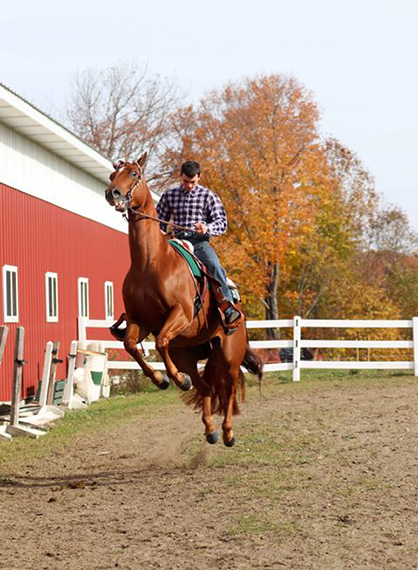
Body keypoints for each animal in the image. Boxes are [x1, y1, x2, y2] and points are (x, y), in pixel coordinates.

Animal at [105, 153, 262, 446]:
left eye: (134, 174)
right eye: (112, 175)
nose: (113, 193)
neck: (151, 263)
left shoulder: (182, 314)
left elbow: (160, 341)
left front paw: (176, 379)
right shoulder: (140, 321)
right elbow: (132, 345)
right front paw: (161, 379)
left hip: (229, 355)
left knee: (230, 387)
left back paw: (228, 432)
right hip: (187, 354)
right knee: (207, 387)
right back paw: (210, 429)